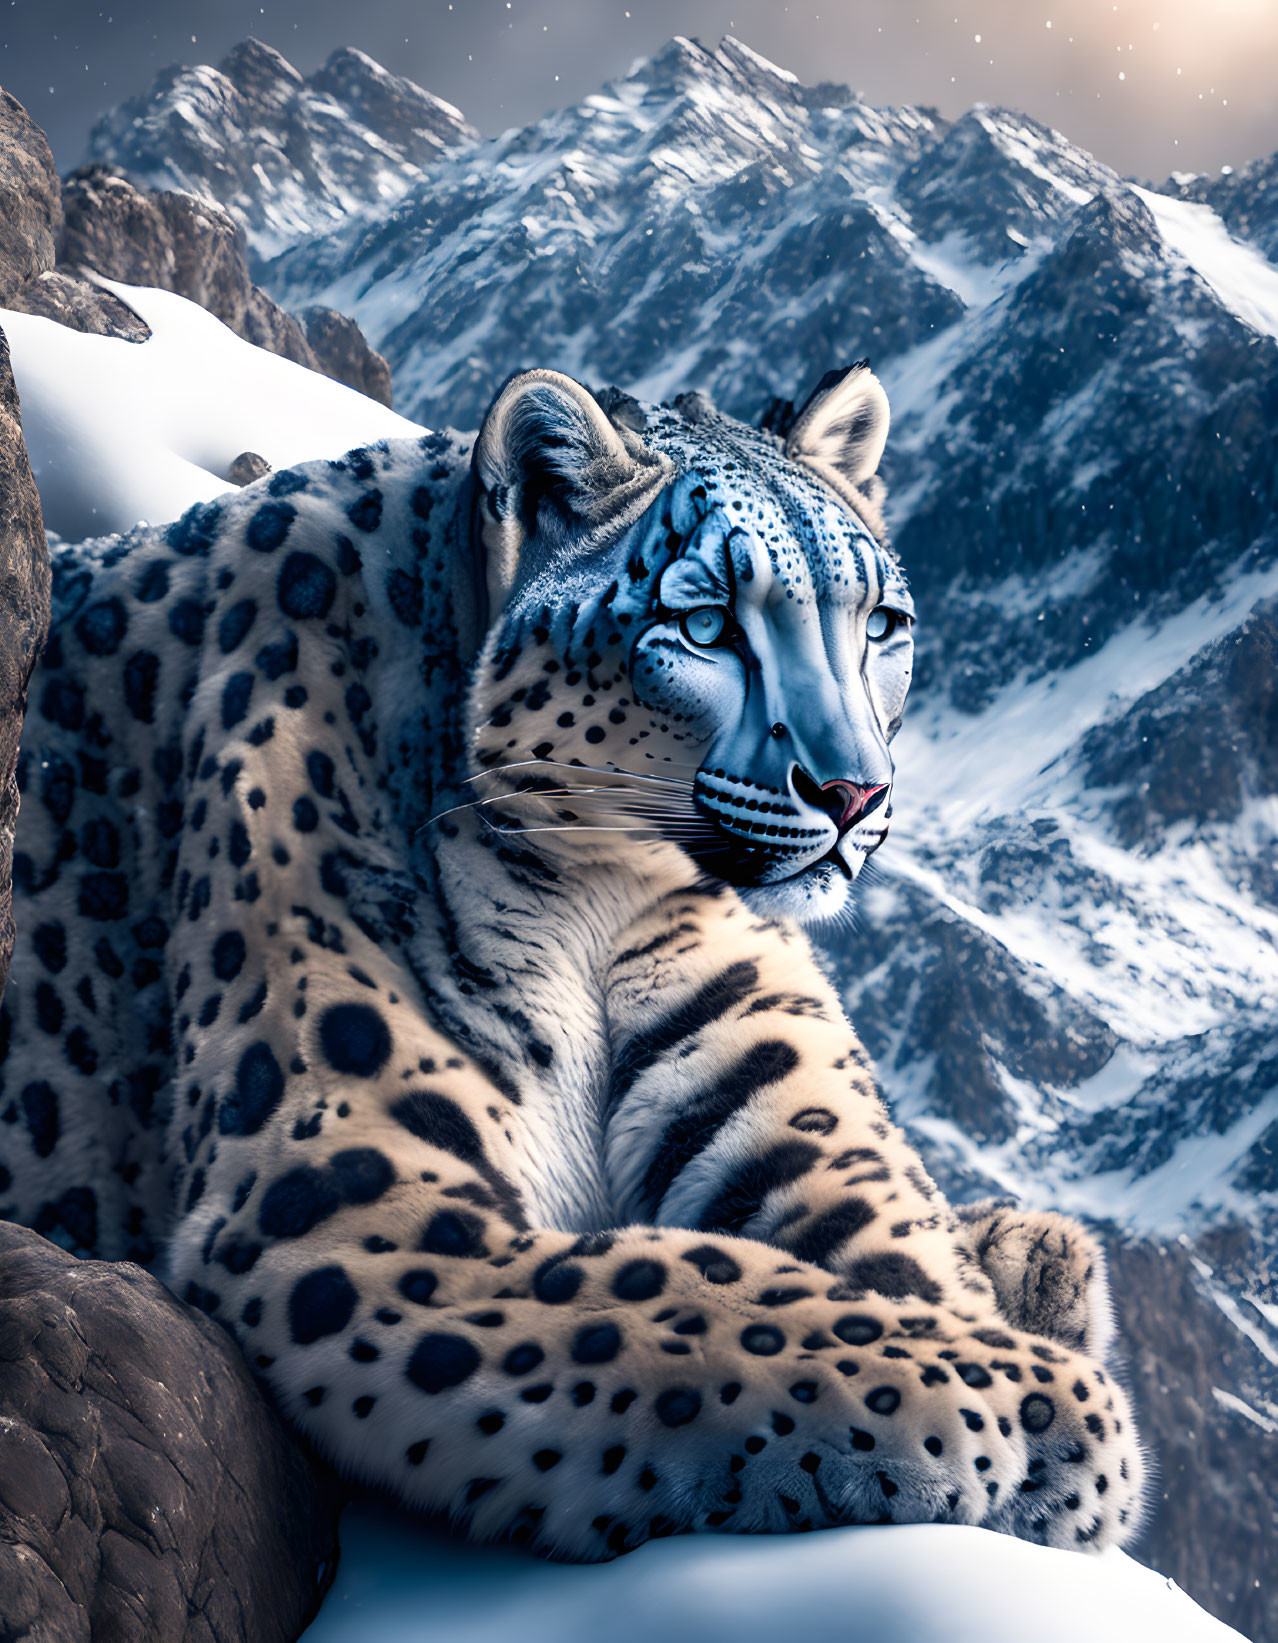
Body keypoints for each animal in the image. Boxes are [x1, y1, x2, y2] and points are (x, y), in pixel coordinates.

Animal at [0, 363, 1136, 1550]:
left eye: (881, 622)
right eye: (703, 622)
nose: (855, 793)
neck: (600, 906)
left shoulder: (778, 1086)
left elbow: (886, 1247)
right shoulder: (352, 1183)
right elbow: (685, 1286)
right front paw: (1050, 1405)